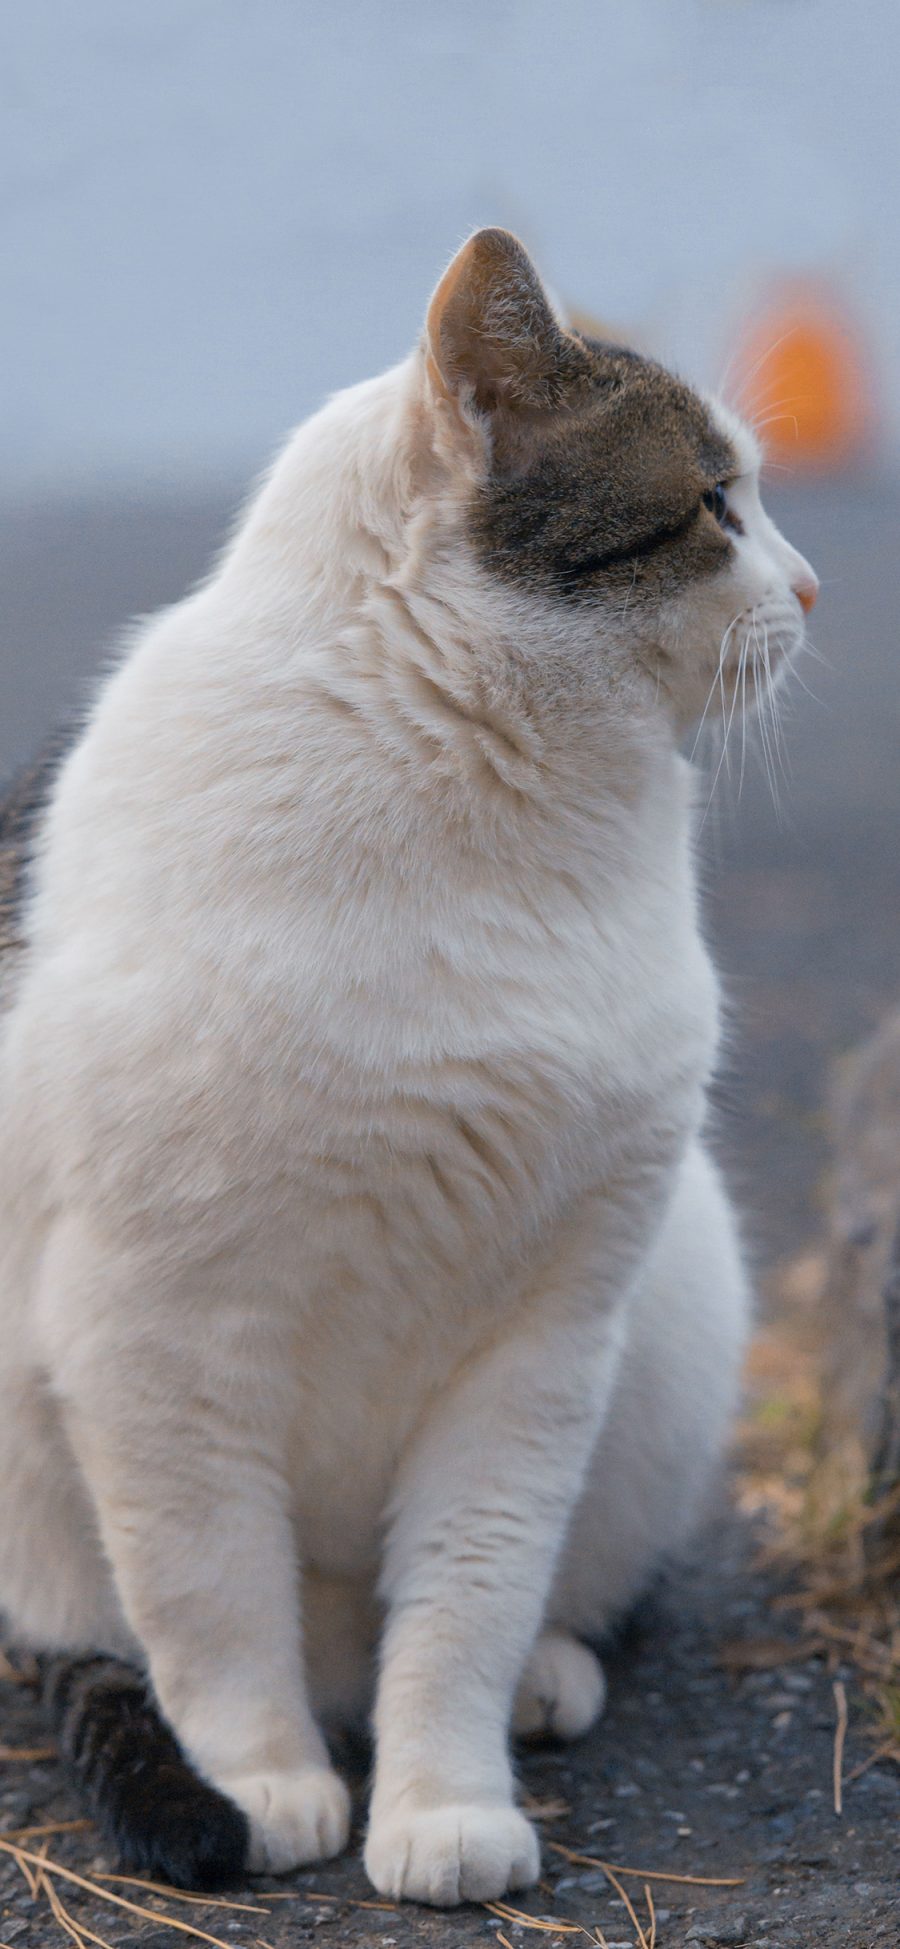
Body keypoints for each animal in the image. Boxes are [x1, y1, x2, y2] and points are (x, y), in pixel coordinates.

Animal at [0, 228, 814, 1902]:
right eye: (716, 502)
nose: (819, 590)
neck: (483, 804)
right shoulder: (153, 1337)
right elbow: (208, 1599)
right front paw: (256, 1781)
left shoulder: (543, 1344)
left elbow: (470, 1593)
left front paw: (445, 1801)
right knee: (121, 1621)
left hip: (677, 1292)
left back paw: (547, 1678)